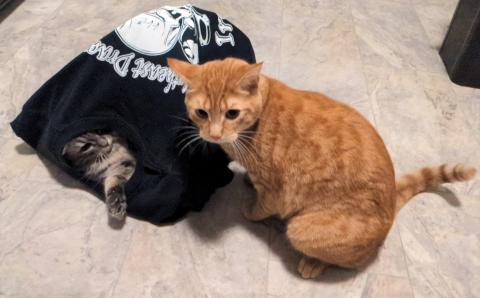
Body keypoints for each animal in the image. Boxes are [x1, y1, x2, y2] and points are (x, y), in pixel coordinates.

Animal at [168, 57, 476, 278]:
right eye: (202, 113)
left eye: (232, 113)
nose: (214, 135)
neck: (257, 120)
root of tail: (390, 205)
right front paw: (247, 183)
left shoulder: (275, 190)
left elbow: (261, 207)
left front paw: (250, 210)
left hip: (301, 229)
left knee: (348, 261)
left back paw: (313, 264)